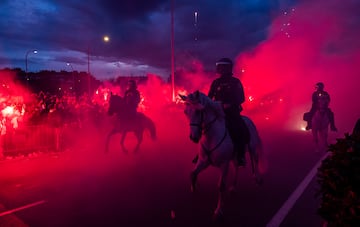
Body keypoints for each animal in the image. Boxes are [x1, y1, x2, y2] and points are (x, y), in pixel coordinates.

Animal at [179, 90, 262, 220]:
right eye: (185, 112)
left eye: (198, 111)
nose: (193, 137)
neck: (212, 136)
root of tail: (248, 120)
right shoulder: (203, 161)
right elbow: (192, 174)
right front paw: (194, 189)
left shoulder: (224, 164)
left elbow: (221, 185)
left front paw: (218, 210)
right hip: (235, 156)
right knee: (236, 167)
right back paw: (233, 187)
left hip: (252, 148)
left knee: (256, 160)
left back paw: (257, 178)